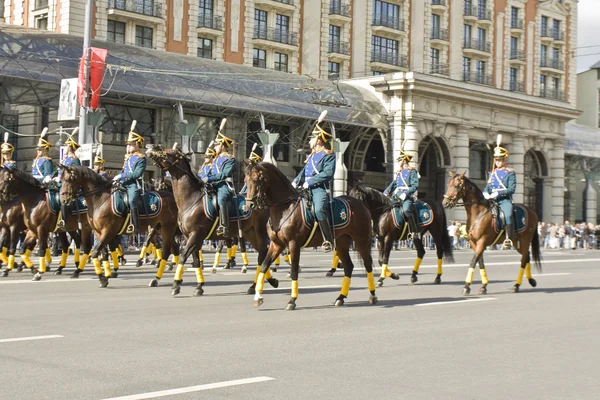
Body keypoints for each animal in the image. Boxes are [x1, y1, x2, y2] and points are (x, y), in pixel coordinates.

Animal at [145, 145, 278, 296]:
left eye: (170, 152)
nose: (151, 146)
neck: (190, 199)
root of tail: (263, 201)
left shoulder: (195, 234)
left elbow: (184, 255)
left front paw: (175, 285)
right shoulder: (188, 236)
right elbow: (195, 259)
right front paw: (198, 286)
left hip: (259, 232)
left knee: (262, 254)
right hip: (250, 233)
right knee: (262, 253)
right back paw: (260, 283)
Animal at [243, 160, 376, 310]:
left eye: (256, 179)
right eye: (245, 180)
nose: (250, 204)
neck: (284, 208)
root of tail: (360, 203)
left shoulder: (294, 244)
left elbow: (294, 270)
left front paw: (292, 300)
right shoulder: (276, 244)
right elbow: (264, 265)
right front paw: (259, 296)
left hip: (361, 241)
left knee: (368, 265)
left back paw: (372, 295)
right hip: (341, 243)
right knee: (348, 267)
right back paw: (340, 297)